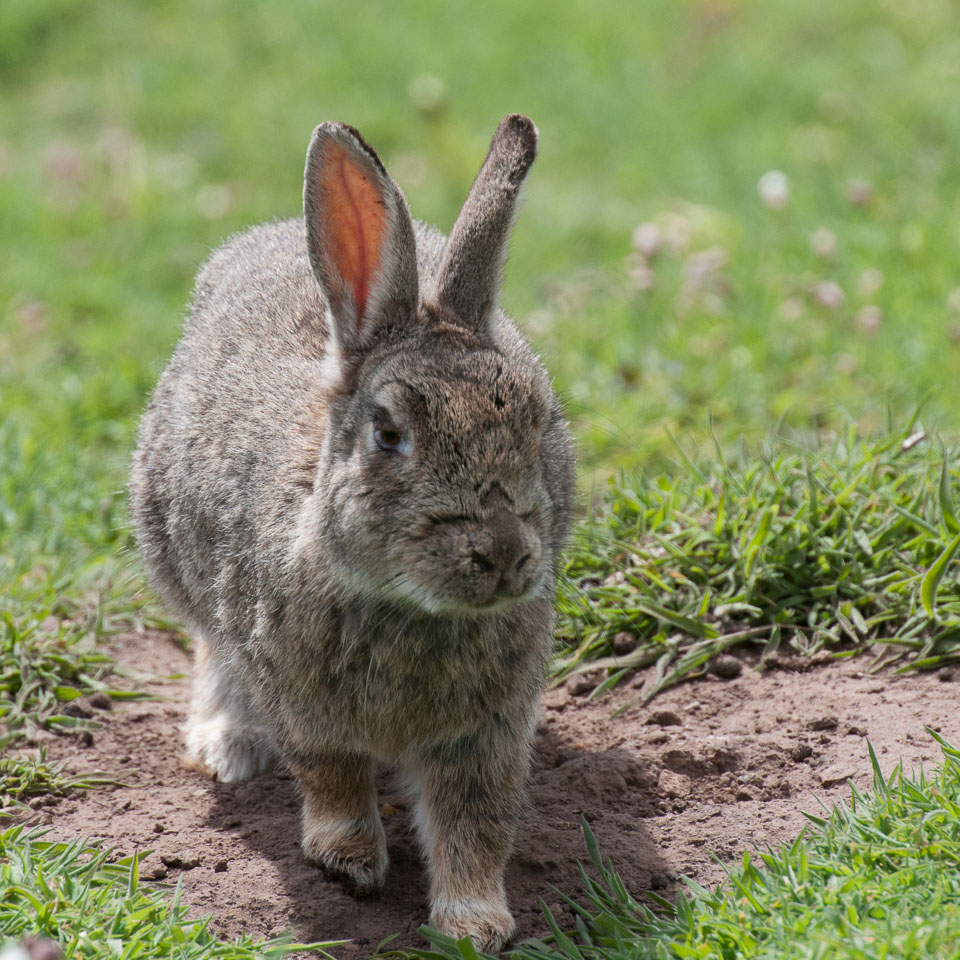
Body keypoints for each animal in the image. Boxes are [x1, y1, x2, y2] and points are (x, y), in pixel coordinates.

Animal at [130, 114, 572, 952]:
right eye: (389, 436)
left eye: (541, 422)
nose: (503, 553)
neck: (409, 606)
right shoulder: (301, 699)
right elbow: (331, 776)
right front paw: (349, 861)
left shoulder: (491, 730)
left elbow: (475, 820)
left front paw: (474, 923)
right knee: (210, 645)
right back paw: (228, 745)